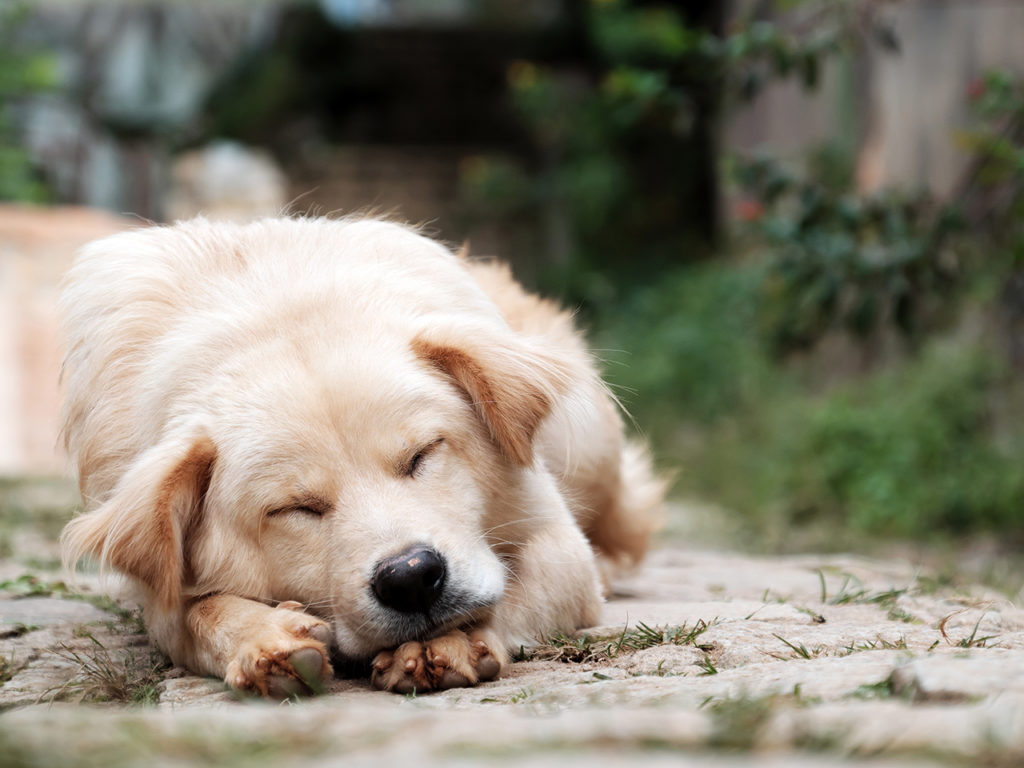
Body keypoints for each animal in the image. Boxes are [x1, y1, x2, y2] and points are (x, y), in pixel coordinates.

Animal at [59, 217, 663, 696]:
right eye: (298, 508)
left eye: (421, 455)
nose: (411, 579)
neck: (273, 310)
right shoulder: (158, 596)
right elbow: (198, 611)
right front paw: (262, 638)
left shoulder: (555, 538)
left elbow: (519, 587)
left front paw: (455, 638)